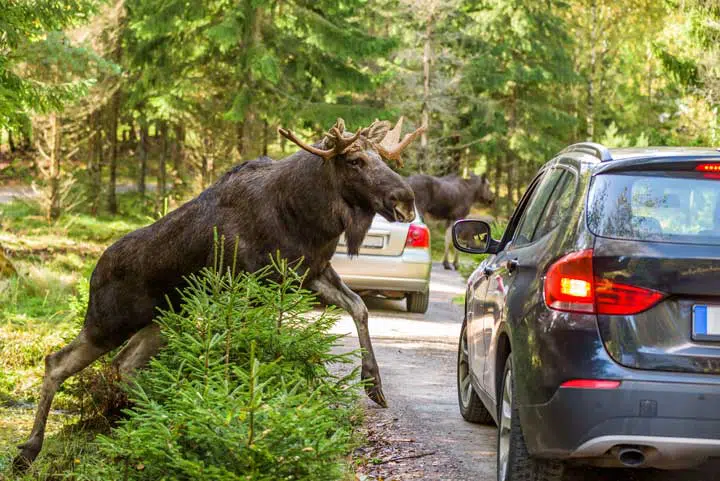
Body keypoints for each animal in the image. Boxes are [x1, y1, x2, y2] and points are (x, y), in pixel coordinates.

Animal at [14, 116, 424, 468]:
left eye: (383, 158)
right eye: (355, 160)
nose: (405, 199)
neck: (306, 217)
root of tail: (93, 273)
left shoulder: (311, 273)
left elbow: (359, 308)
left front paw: (373, 383)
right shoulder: (248, 285)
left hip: (161, 321)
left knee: (124, 364)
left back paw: (161, 413)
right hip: (108, 322)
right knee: (57, 362)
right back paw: (30, 451)